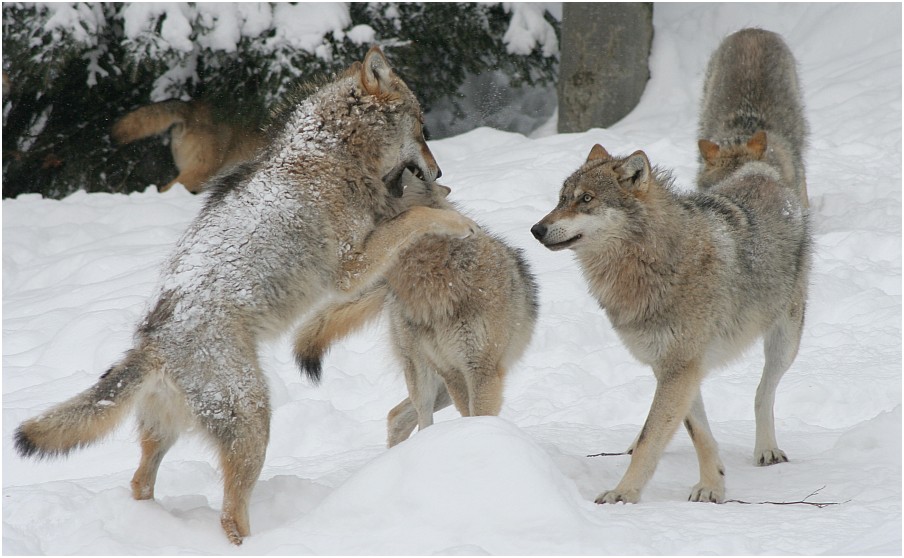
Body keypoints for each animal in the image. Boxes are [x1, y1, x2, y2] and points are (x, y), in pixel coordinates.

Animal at [15, 48, 480, 548]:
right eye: (423, 130)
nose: (439, 171)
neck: (331, 153)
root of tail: (151, 345)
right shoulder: (349, 270)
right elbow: (414, 218)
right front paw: (458, 223)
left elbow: (406, 215)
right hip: (254, 422)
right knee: (229, 516)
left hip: (172, 432)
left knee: (140, 482)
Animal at [294, 171, 536, 446]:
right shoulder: (452, 371)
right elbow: (468, 413)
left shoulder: (480, 370)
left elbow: (478, 415)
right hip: (425, 379)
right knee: (408, 416)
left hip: (442, 386)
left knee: (398, 415)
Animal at [528, 140, 812, 508]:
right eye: (561, 199)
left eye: (586, 199)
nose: (536, 230)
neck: (653, 263)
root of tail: (761, 173)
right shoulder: (671, 366)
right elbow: (695, 433)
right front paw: (712, 484)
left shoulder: (680, 367)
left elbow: (652, 439)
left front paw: (623, 493)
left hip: (785, 341)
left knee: (763, 391)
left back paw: (766, 449)